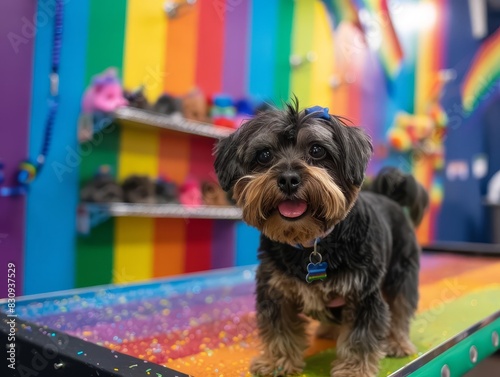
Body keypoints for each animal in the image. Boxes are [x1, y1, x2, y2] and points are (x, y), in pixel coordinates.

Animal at [213, 101, 428, 374]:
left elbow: (360, 337)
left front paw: (354, 370)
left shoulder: (363, 295)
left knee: (400, 309)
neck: (311, 242)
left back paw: (398, 343)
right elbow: (279, 331)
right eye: (264, 155)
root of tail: (388, 198)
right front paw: (277, 362)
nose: (288, 179)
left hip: (401, 273)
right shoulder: (275, 291)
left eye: (317, 150)